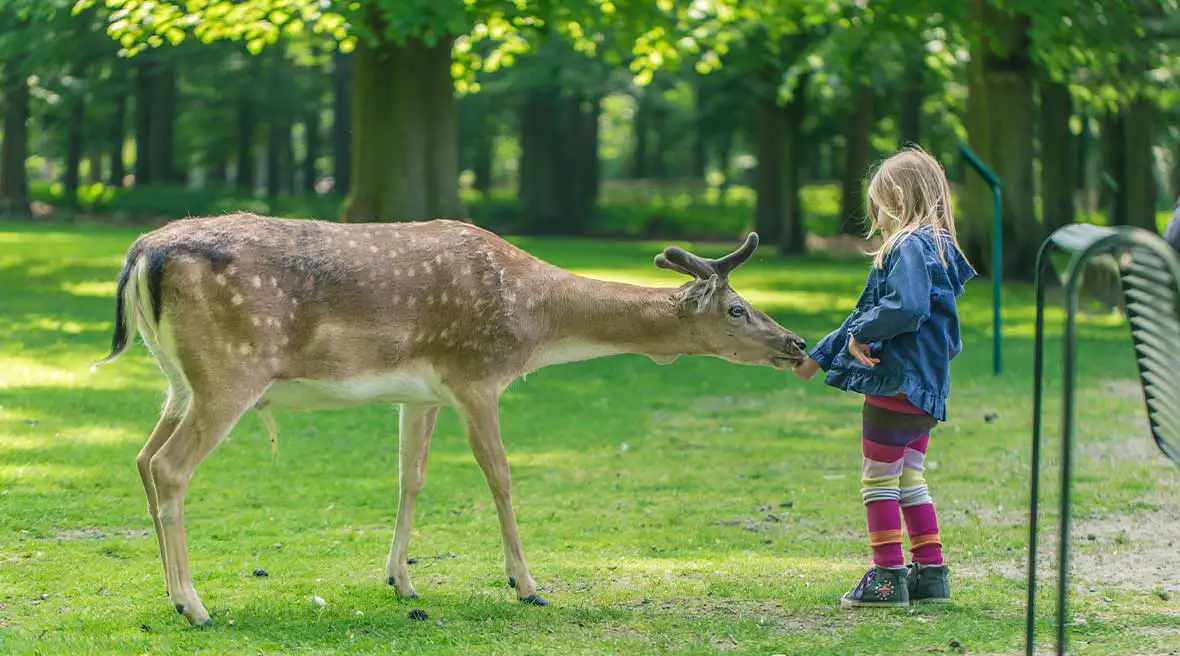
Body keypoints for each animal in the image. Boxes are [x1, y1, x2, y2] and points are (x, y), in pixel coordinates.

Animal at [94, 213, 807, 625]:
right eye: (738, 308)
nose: (797, 344)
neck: (535, 322)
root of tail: (140, 255)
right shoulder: (476, 374)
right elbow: (501, 477)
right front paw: (527, 585)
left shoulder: (422, 393)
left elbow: (410, 479)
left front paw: (402, 581)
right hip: (228, 374)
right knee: (169, 465)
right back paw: (194, 605)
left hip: (178, 380)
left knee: (142, 459)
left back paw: (171, 595)